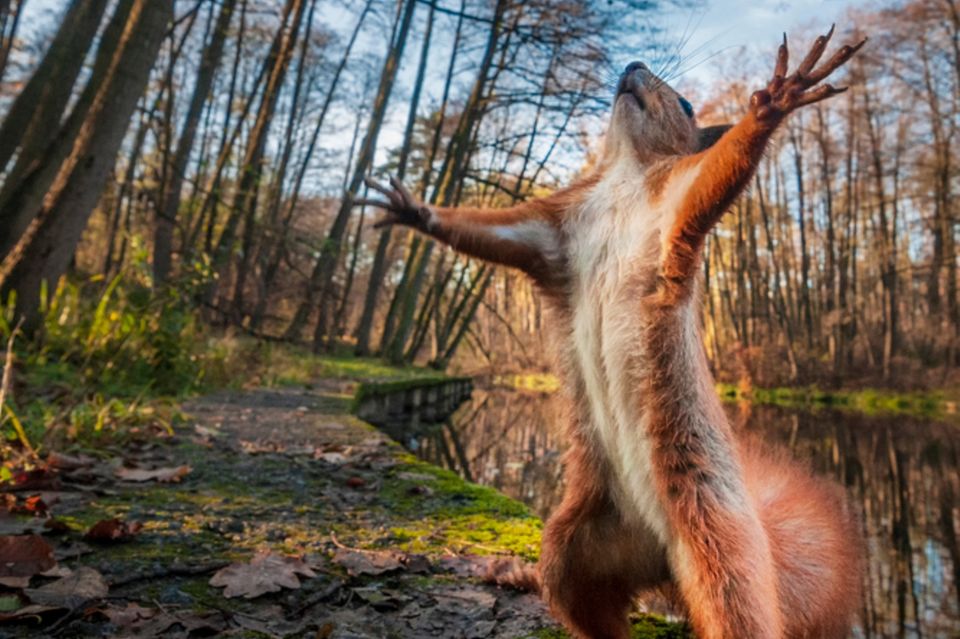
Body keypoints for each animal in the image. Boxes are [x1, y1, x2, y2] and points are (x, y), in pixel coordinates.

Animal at [362, 27, 872, 639]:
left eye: (686, 104)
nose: (632, 64)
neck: (624, 174)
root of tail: (664, 558)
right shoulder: (553, 233)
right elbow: (489, 232)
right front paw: (416, 211)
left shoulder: (676, 203)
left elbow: (721, 171)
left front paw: (776, 100)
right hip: (575, 544)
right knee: (587, 602)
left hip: (724, 551)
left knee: (737, 612)